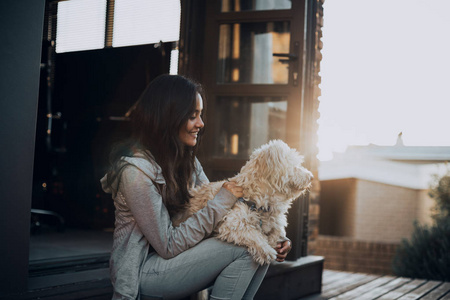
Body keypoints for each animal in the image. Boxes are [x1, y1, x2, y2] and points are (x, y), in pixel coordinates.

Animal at [173, 139, 312, 264]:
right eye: (295, 166)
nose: (311, 177)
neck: (258, 202)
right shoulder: (231, 223)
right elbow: (252, 234)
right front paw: (266, 250)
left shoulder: (274, 221)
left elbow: (277, 231)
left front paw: (276, 242)